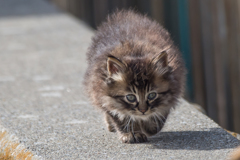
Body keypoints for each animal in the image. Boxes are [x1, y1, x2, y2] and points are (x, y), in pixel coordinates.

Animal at [83, 10, 187, 144]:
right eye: (131, 97)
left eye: (152, 95)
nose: (143, 111)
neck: (135, 53)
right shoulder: (102, 93)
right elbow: (121, 117)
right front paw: (131, 134)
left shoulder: (174, 87)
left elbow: (159, 115)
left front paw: (150, 126)